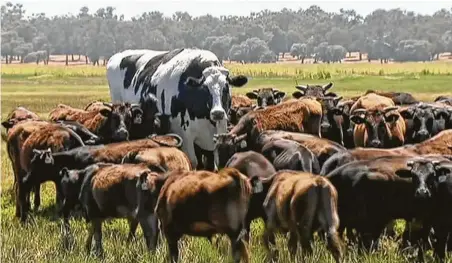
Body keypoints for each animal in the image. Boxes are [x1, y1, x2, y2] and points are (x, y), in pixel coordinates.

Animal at [107, 49, 247, 169]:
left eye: (226, 87)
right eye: (204, 88)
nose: (217, 113)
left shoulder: (219, 131)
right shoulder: (185, 135)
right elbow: (193, 161)